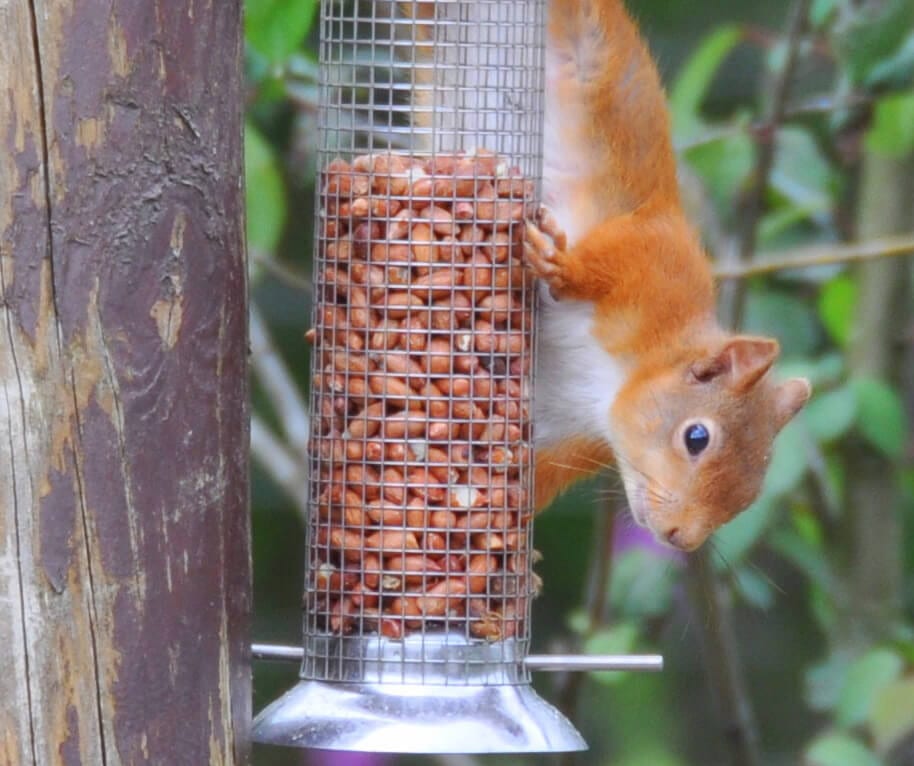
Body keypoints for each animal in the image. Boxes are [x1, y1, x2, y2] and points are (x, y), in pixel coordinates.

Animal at [399, 0, 812, 551]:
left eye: (751, 493)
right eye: (696, 437)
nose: (681, 539)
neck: (609, 378)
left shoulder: (565, 434)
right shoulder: (653, 259)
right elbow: (603, 261)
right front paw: (561, 266)